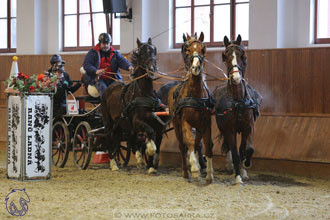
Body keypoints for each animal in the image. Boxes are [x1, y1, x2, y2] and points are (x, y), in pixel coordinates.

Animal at [101, 37, 165, 174]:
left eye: (153, 50)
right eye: (141, 52)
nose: (152, 68)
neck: (144, 93)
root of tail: (108, 90)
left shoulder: (155, 122)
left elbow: (154, 137)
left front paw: (151, 165)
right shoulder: (137, 122)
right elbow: (150, 134)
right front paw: (149, 151)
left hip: (120, 125)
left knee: (119, 140)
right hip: (108, 123)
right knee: (109, 139)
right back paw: (113, 164)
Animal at [168, 31, 214, 182]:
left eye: (203, 50)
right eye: (187, 50)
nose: (196, 67)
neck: (196, 95)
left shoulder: (205, 123)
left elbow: (206, 145)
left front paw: (209, 173)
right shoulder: (185, 122)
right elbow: (189, 142)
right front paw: (194, 169)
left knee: (196, 143)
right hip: (176, 124)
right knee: (182, 146)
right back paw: (185, 171)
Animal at [214, 35, 262, 185]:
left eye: (243, 55)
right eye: (224, 56)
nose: (235, 78)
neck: (238, 101)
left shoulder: (248, 127)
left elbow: (248, 149)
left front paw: (245, 166)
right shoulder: (229, 129)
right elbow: (235, 152)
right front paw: (237, 177)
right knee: (230, 147)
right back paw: (230, 166)